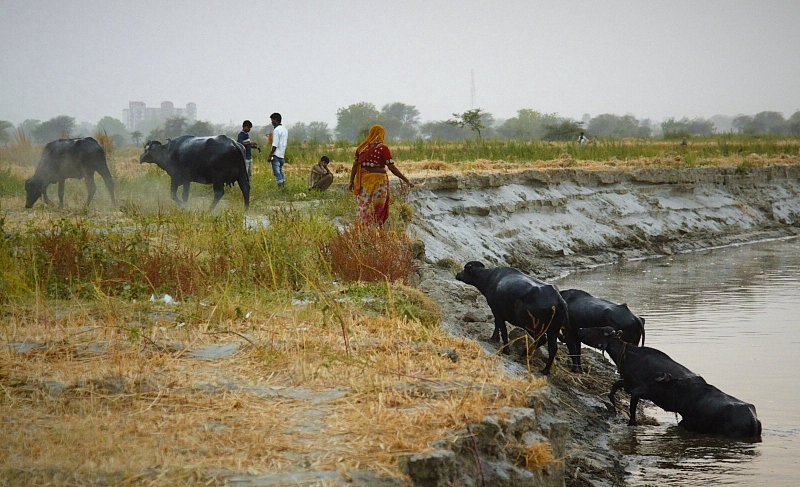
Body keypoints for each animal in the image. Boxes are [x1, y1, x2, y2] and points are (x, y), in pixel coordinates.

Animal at [580, 328, 760, 442]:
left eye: (596, 329)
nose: (581, 328)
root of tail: (753, 419)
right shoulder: (630, 384)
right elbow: (614, 388)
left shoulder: (640, 390)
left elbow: (631, 412)